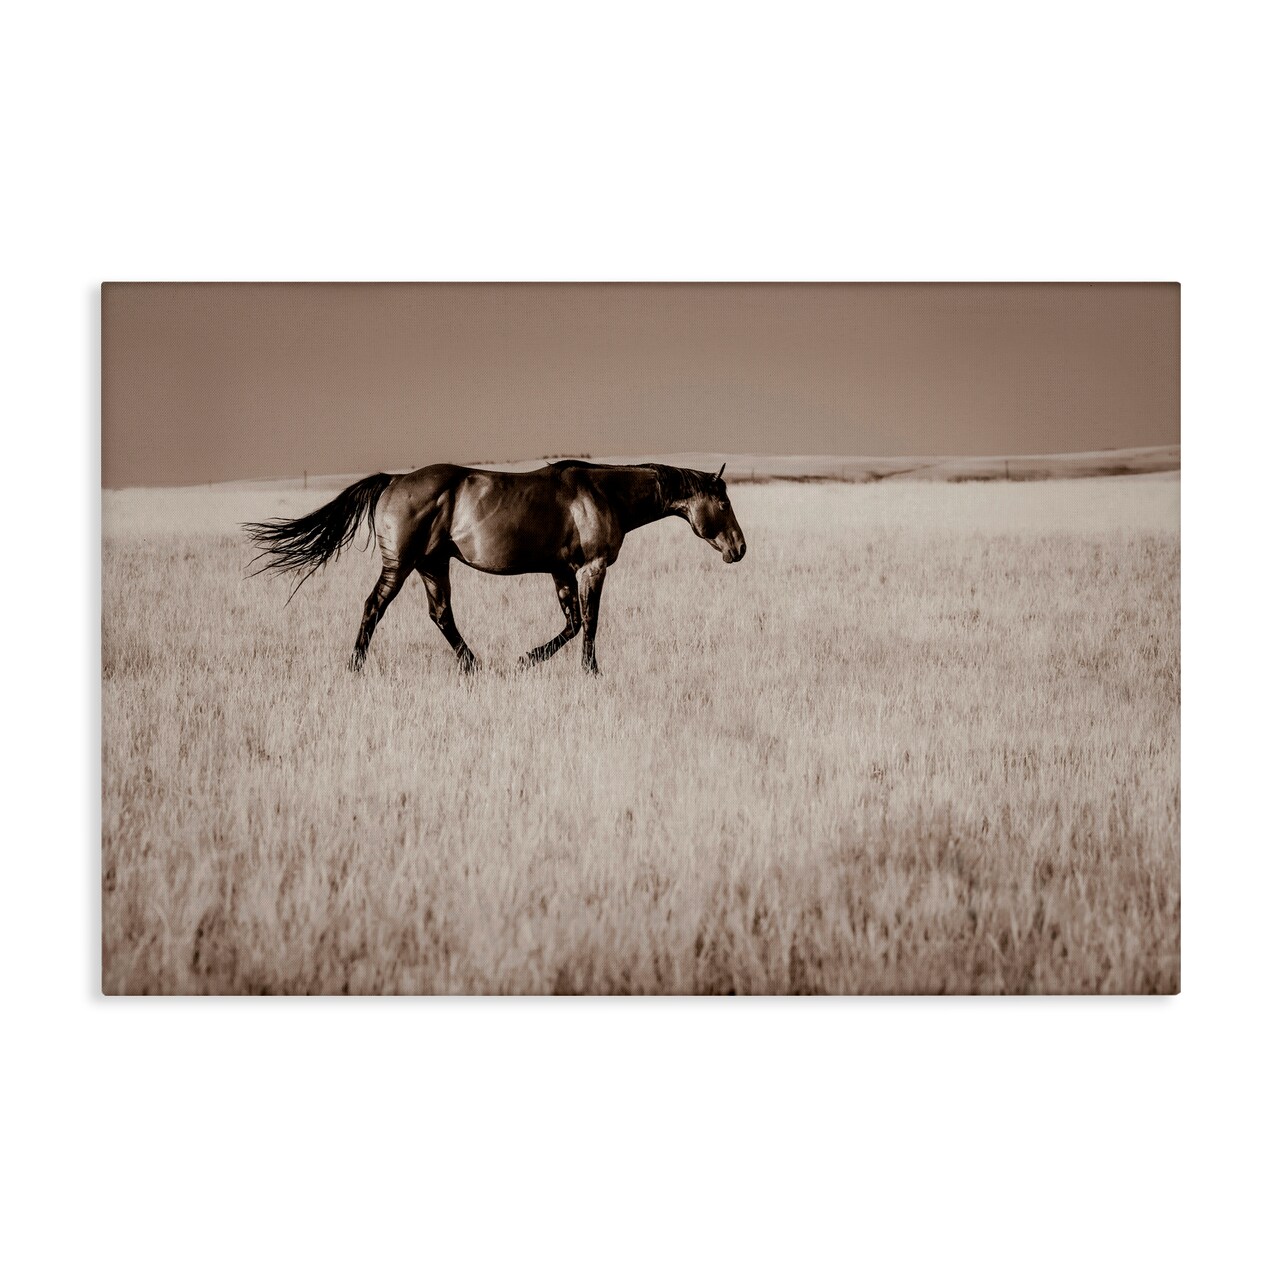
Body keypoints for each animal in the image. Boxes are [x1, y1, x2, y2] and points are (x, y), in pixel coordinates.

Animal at [243, 460, 747, 675]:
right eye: (723, 502)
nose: (739, 549)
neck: (603, 492)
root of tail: (394, 479)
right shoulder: (592, 568)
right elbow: (590, 623)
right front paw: (590, 672)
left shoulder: (561, 571)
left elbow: (571, 623)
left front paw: (527, 659)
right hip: (402, 565)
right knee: (374, 607)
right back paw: (355, 666)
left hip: (432, 565)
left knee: (441, 615)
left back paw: (475, 665)